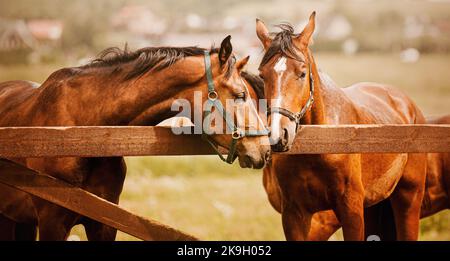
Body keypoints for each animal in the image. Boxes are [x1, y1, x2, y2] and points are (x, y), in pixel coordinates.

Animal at [258, 12, 428, 240]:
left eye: (301, 73)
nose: (278, 136)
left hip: (409, 199)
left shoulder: (351, 211)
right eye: (262, 75)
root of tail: (409, 106)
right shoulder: (294, 215)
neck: (321, 145)